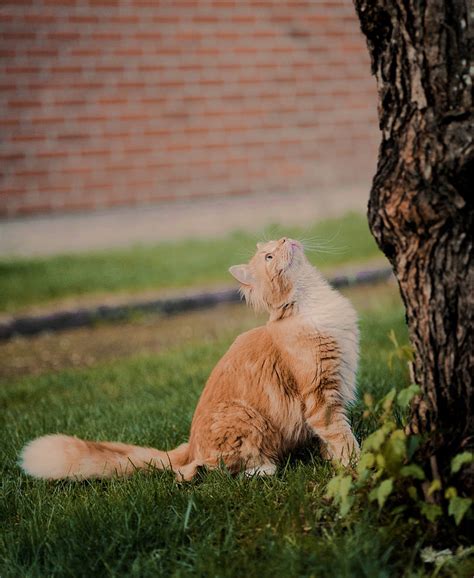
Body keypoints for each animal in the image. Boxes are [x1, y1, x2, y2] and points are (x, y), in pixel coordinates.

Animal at [19, 236, 360, 480]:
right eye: (269, 257)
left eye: (277, 242)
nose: (287, 238)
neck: (310, 303)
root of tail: (188, 444)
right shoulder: (320, 396)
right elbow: (343, 438)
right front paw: (356, 468)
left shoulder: (332, 388)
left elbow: (329, 440)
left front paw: (333, 463)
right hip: (244, 417)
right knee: (205, 470)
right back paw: (263, 470)